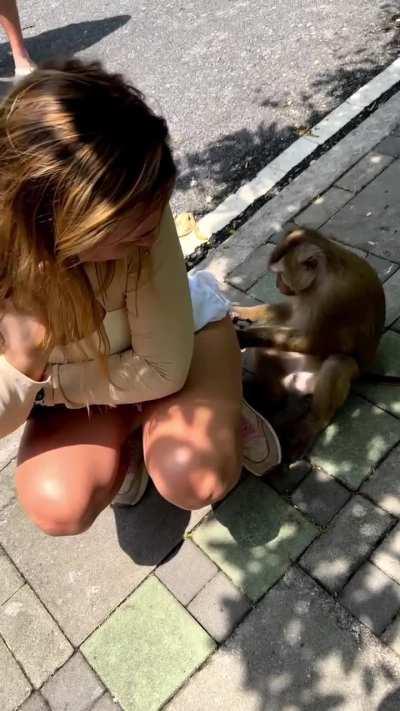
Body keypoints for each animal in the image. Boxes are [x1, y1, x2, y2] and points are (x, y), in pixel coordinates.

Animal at [231, 227, 386, 460]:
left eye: (280, 273)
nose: (277, 284)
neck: (325, 273)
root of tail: (298, 388)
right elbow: (290, 316)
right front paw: (242, 311)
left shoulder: (334, 299)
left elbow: (314, 341)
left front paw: (246, 335)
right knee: (265, 353)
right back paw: (269, 398)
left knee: (338, 362)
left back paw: (311, 424)